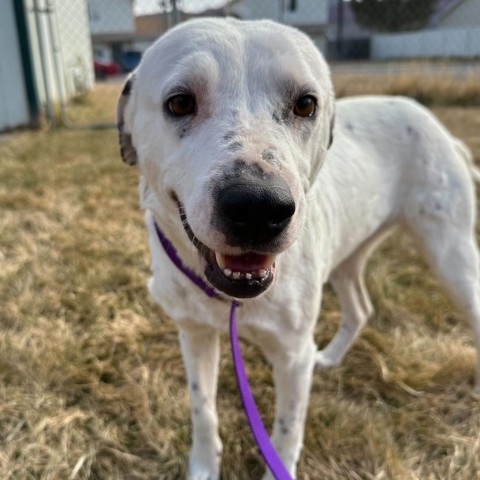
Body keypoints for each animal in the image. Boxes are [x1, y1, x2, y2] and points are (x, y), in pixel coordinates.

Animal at [117, 16, 480, 478]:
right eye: (180, 103)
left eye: (306, 104)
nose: (258, 208)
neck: (229, 300)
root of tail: (434, 123)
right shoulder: (194, 335)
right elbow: (203, 410)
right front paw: (202, 466)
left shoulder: (290, 359)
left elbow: (286, 431)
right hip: (348, 258)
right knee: (360, 307)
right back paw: (330, 357)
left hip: (452, 256)